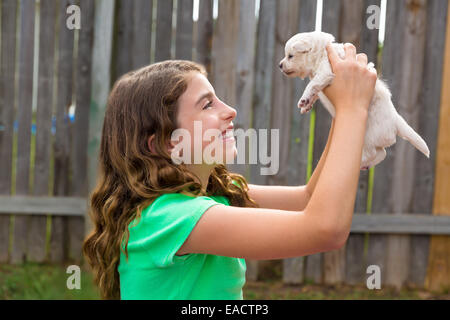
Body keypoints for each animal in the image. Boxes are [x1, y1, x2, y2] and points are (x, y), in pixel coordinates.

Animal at [280, 31, 430, 170]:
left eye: (290, 56)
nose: (280, 65)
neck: (321, 52)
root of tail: (396, 120)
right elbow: (315, 91)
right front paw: (307, 105)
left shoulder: (325, 72)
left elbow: (311, 85)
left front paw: (304, 99)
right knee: (382, 153)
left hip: (368, 136)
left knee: (373, 153)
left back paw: (357, 162)